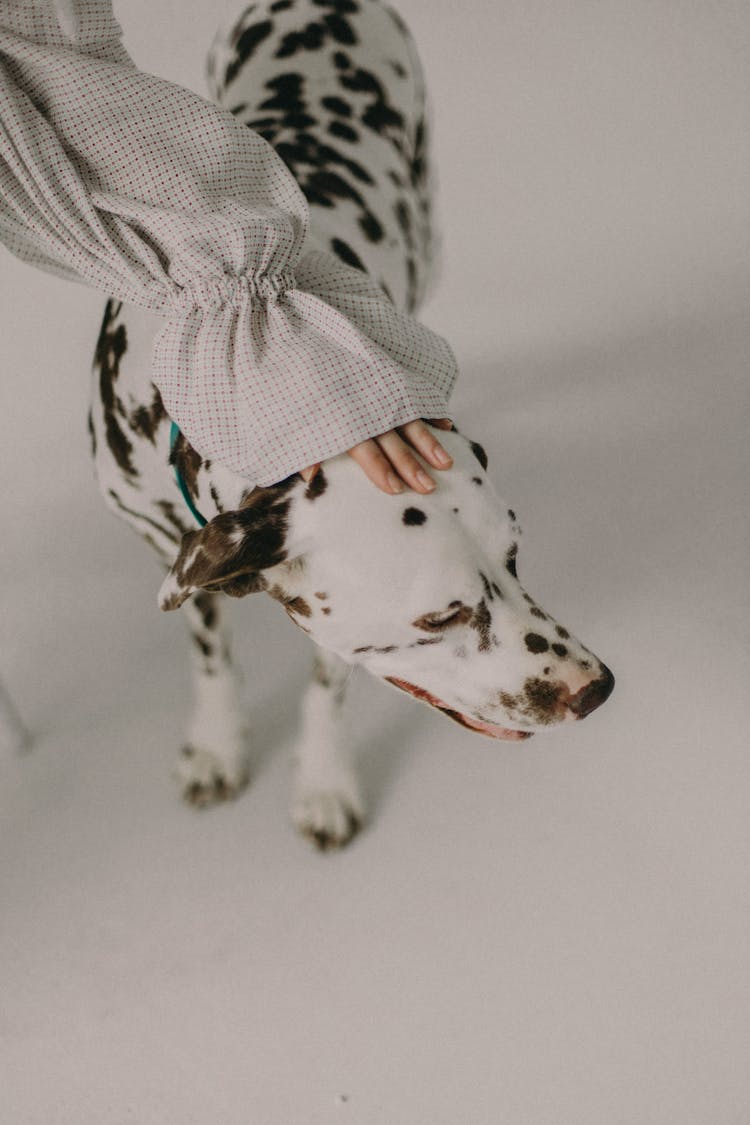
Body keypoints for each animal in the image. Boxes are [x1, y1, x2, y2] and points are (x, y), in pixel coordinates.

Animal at [86, 0, 616, 846]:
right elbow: (210, 655)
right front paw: (216, 743)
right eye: (442, 614)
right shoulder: (163, 545)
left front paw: (324, 779)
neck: (255, 373)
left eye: (515, 555)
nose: (594, 687)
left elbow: (326, 685)